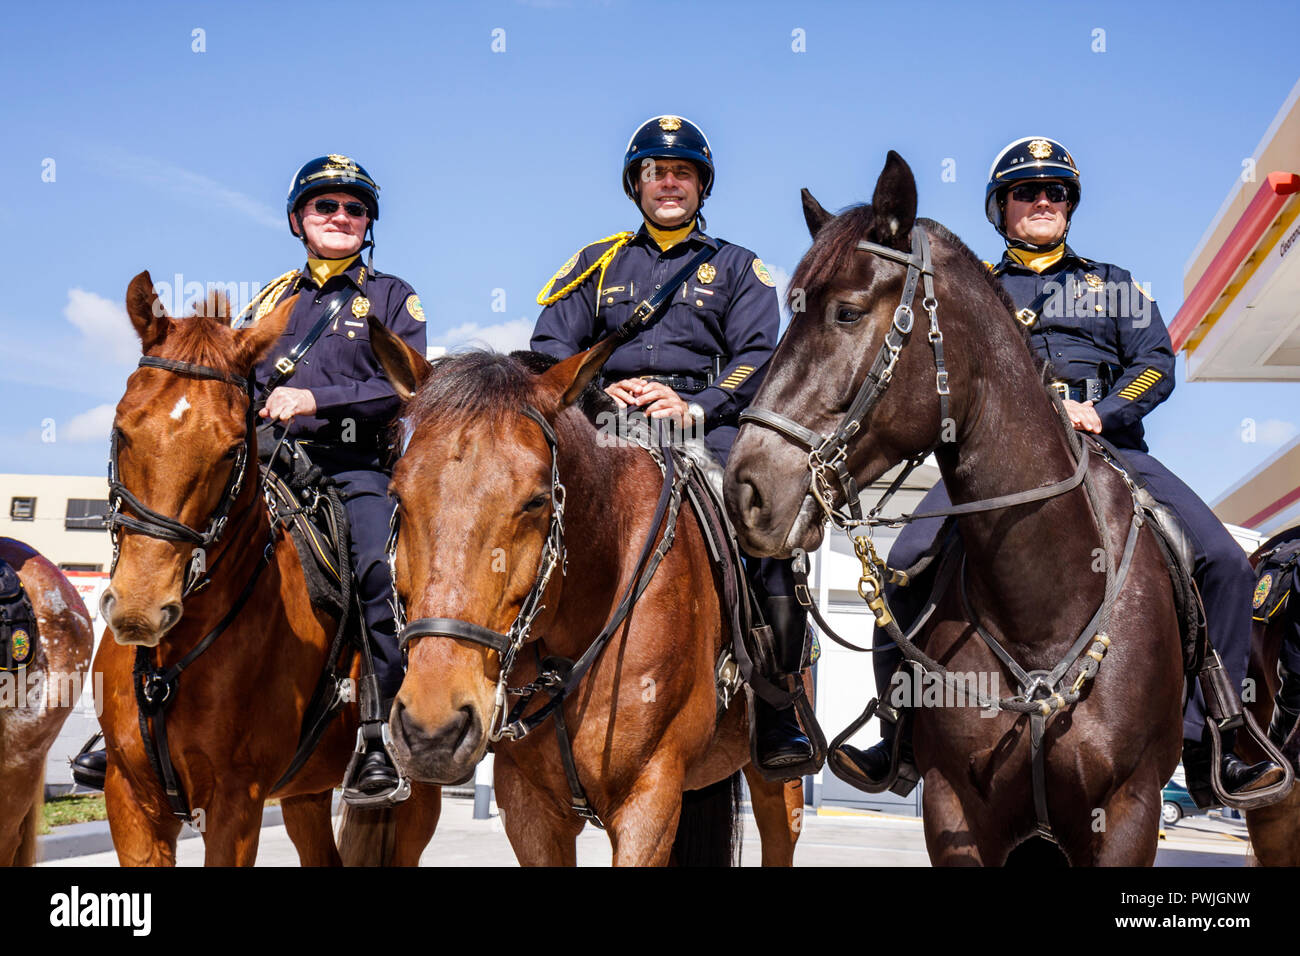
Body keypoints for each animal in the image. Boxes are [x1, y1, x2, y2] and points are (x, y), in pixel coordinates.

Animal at [93, 271, 440, 866]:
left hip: (416, 798)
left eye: (233, 448)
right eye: (122, 428)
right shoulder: (130, 797)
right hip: (305, 794)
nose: (140, 608)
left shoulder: (236, 802)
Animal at [365, 324, 805, 866]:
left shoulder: (649, 801)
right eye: (398, 495)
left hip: (775, 784)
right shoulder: (528, 808)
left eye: (536, 500)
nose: (432, 730)